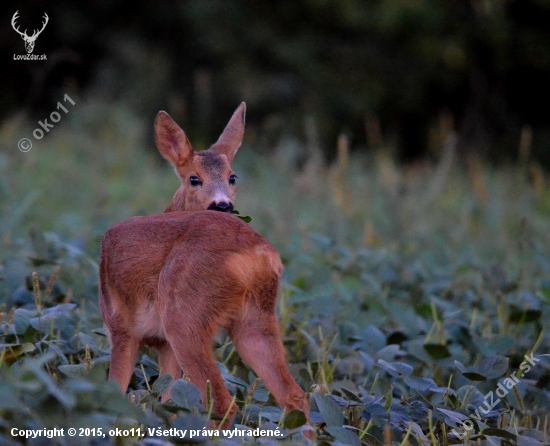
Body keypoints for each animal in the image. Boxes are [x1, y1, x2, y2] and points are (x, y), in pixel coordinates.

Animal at [99, 105, 310, 428]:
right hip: (256, 320)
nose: (222, 205)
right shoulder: (164, 345)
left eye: (232, 177)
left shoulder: (121, 327)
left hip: (184, 316)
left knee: (224, 403)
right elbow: (167, 399)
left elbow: (116, 392)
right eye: (193, 179)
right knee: (295, 396)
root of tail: (256, 256)